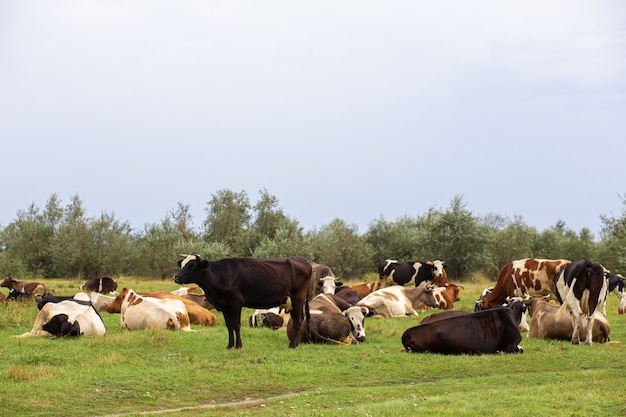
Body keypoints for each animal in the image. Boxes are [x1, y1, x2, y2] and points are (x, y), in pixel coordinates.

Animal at [173, 254, 312, 348]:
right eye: (182, 264)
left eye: (191, 266)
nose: (176, 277)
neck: (221, 276)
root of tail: (302, 260)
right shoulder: (224, 305)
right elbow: (229, 326)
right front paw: (230, 345)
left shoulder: (236, 303)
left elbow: (236, 325)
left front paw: (238, 345)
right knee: (297, 319)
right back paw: (295, 343)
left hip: (298, 298)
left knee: (298, 321)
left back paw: (292, 344)